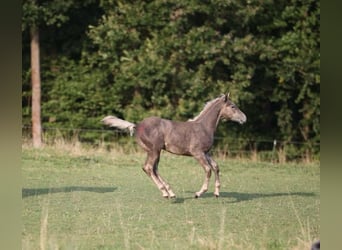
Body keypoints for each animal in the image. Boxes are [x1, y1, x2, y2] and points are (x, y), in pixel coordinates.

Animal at [101, 93, 246, 198]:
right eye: (233, 106)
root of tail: (137, 125)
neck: (203, 127)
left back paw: (169, 192)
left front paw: (216, 192)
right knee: (148, 167)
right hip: (154, 150)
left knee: (153, 169)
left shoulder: (206, 152)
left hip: (154, 151)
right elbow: (208, 169)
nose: (244, 118)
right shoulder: (197, 153)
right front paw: (199, 193)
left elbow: (216, 167)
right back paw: (166, 192)